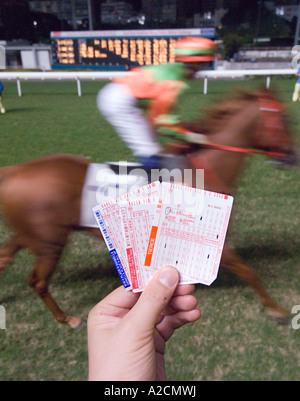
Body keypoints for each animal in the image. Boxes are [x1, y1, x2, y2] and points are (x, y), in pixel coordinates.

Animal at [0, 88, 296, 328]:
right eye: (285, 119)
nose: (293, 156)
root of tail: (16, 171)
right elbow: (249, 272)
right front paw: (278, 310)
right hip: (50, 242)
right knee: (38, 281)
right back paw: (69, 319)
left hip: (32, 236)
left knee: (7, 259)